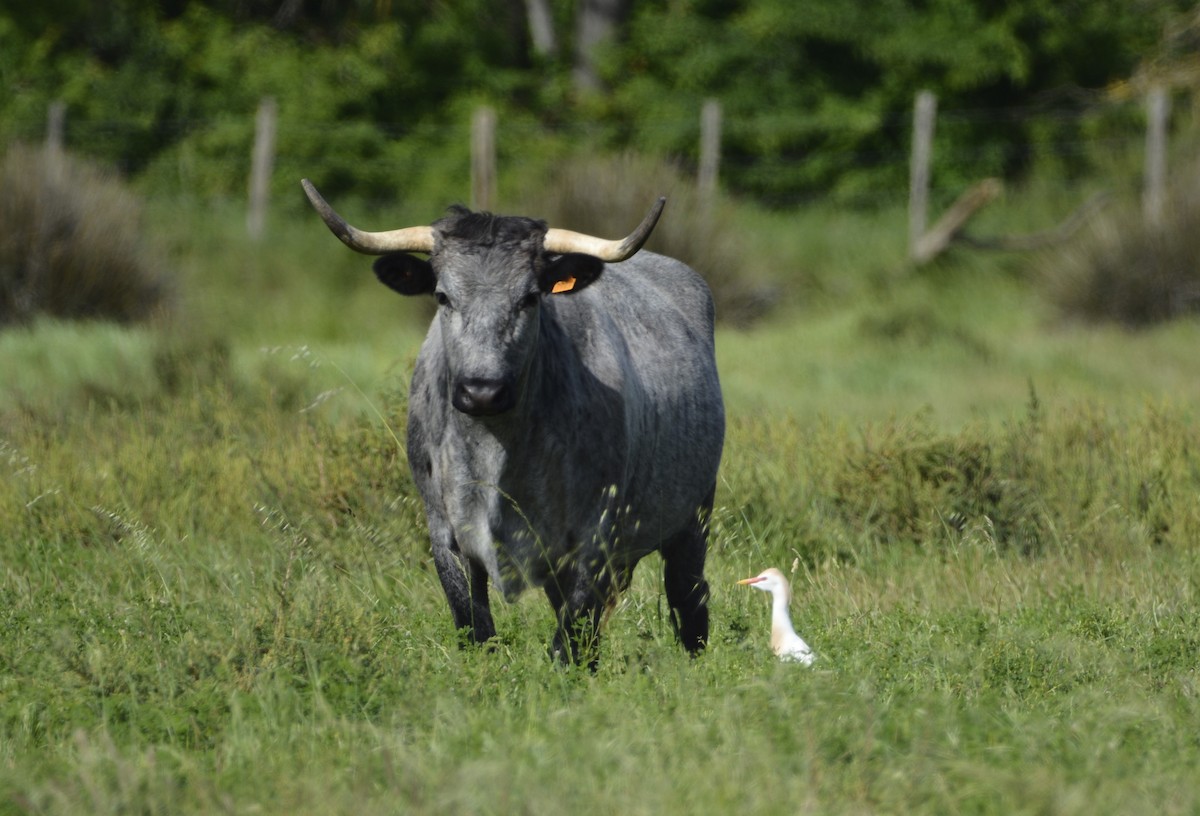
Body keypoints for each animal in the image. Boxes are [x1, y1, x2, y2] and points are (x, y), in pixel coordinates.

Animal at [304, 180, 724, 667]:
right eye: (443, 296)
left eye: (529, 297)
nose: (482, 391)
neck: (497, 446)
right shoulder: (444, 530)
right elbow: (474, 623)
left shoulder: (595, 532)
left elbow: (571, 637)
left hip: (694, 515)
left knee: (686, 594)